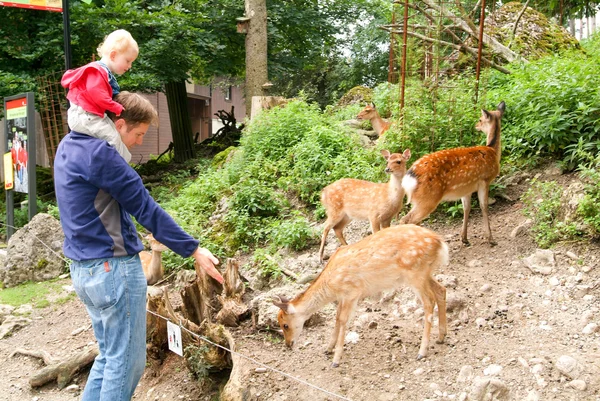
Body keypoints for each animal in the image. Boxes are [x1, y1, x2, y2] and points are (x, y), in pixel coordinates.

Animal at [274, 223, 448, 368]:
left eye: (285, 325)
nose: (288, 344)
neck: (331, 286)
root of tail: (440, 243)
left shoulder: (351, 291)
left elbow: (343, 320)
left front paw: (336, 360)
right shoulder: (343, 296)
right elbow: (337, 318)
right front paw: (328, 348)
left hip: (415, 273)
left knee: (429, 301)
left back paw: (422, 351)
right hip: (425, 273)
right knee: (442, 290)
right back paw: (441, 337)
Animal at [400, 101, 504, 244]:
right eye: (480, 119)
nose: (476, 126)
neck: (493, 151)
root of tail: (409, 177)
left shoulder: (466, 187)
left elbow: (467, 208)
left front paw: (464, 238)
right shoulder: (485, 180)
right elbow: (484, 206)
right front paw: (491, 239)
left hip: (417, 199)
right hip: (428, 198)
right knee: (406, 220)